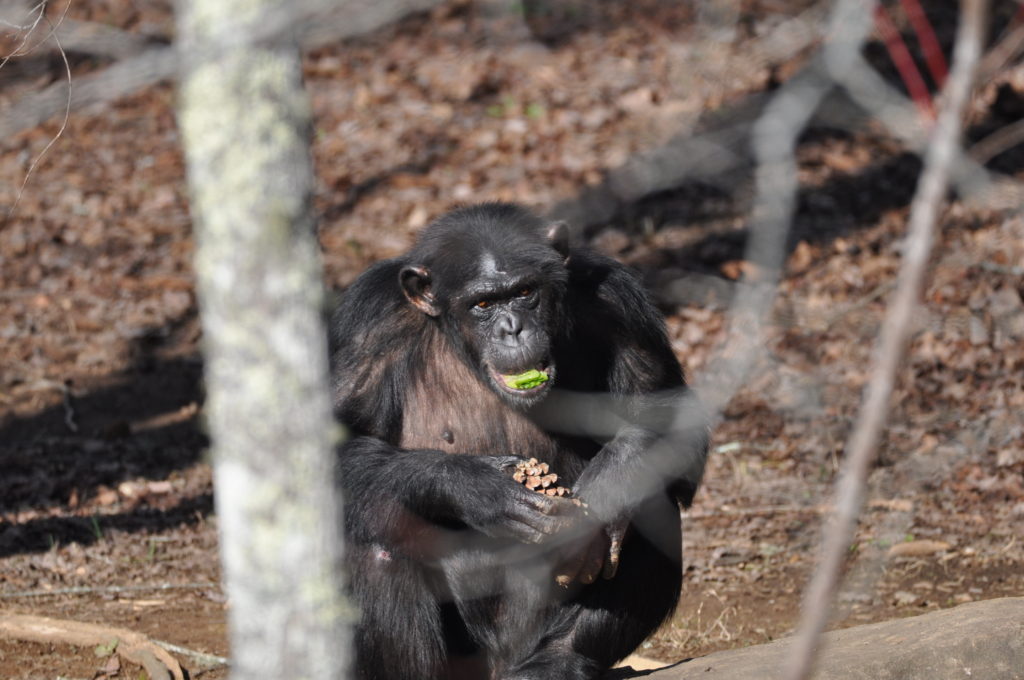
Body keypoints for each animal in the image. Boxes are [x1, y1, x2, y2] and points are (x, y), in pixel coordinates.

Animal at [331, 202, 708, 680]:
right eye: (483, 303)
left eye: (525, 292)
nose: (513, 328)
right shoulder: (367, 325)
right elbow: (335, 440)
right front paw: (477, 488)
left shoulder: (620, 305)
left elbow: (666, 408)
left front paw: (610, 483)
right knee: (378, 539)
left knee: (651, 507)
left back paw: (557, 660)